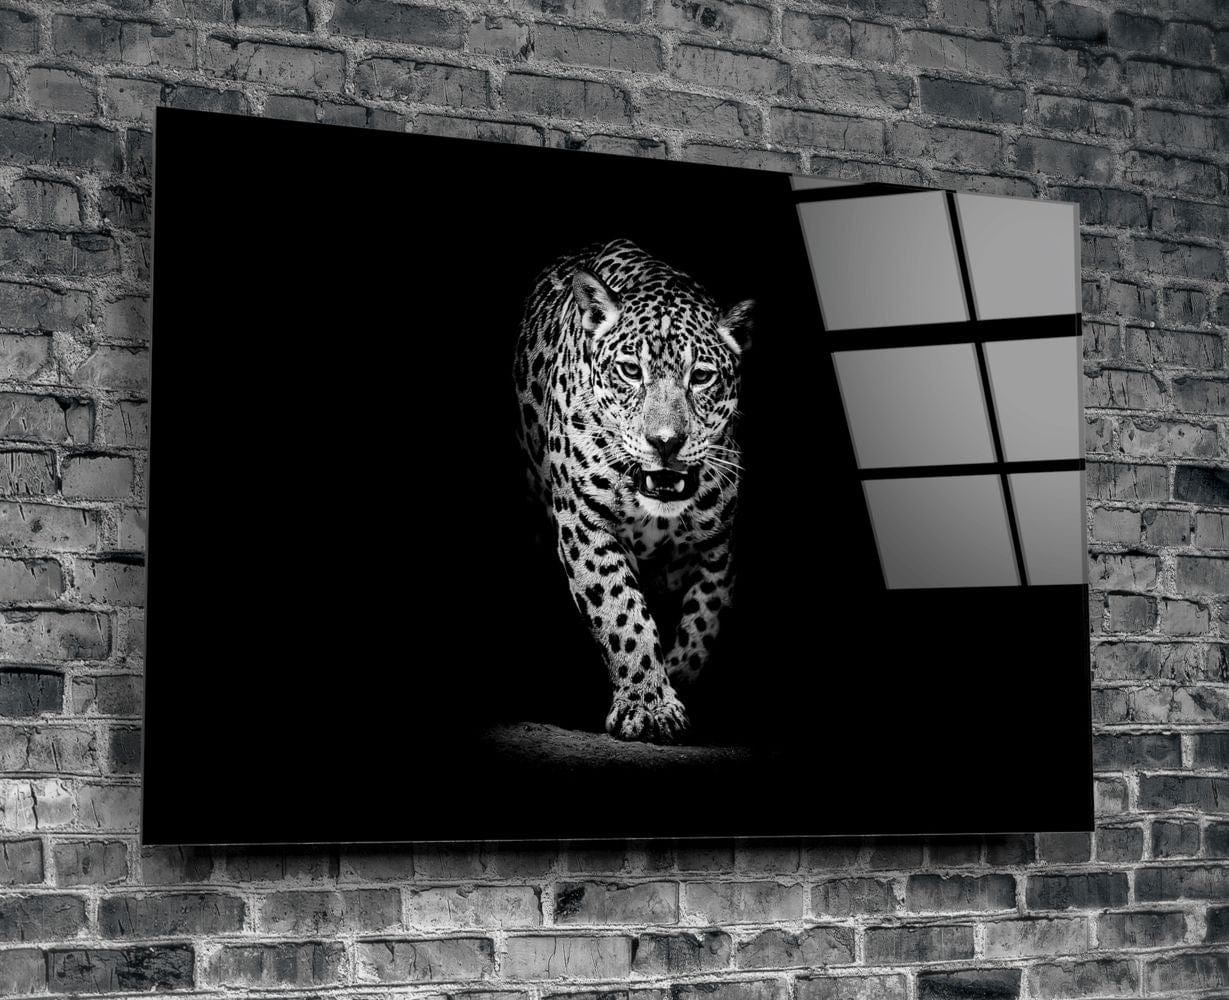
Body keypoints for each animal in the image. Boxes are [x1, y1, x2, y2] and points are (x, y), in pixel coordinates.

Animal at [513, 238, 753, 744]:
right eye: (629, 371)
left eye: (701, 376)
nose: (665, 441)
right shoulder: (585, 525)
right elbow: (622, 612)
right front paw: (647, 704)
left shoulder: (718, 546)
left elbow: (703, 623)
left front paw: (674, 683)